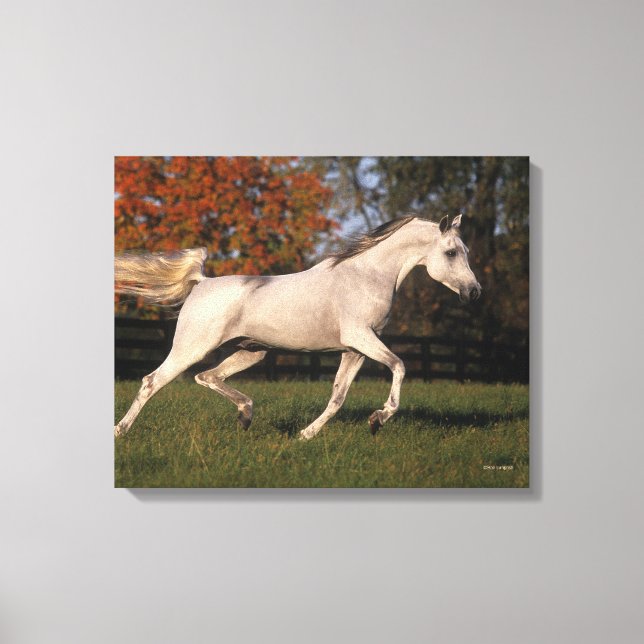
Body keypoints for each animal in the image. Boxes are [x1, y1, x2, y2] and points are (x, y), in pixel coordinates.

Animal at [114, 214, 481, 440]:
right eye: (451, 252)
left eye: (465, 250)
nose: (474, 292)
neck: (365, 276)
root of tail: (201, 282)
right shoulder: (361, 337)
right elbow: (400, 366)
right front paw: (378, 418)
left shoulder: (355, 350)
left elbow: (338, 397)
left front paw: (306, 435)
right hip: (191, 348)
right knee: (152, 382)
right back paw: (121, 431)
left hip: (253, 352)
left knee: (208, 377)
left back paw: (246, 415)